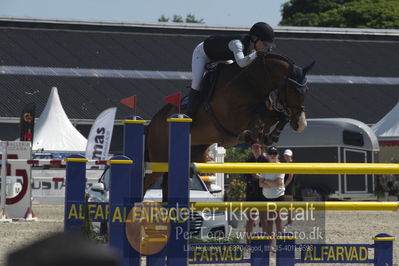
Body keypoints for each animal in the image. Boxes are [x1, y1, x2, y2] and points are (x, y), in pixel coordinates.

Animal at [144, 53, 316, 198]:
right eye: (292, 89)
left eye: (307, 90)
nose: (301, 124)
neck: (251, 82)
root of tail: (152, 123)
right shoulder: (231, 118)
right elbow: (261, 110)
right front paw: (255, 132)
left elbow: (277, 115)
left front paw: (269, 135)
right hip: (159, 159)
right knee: (146, 181)